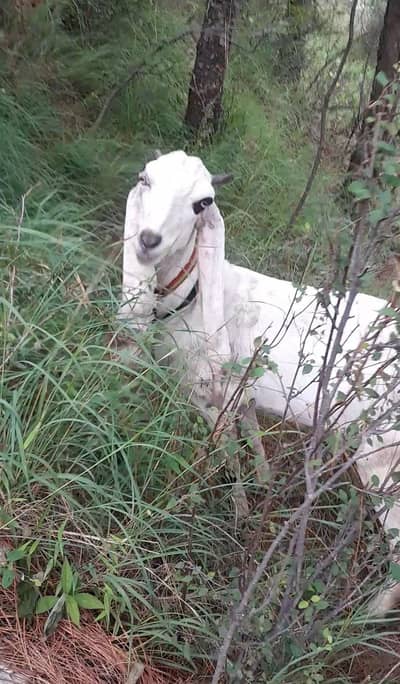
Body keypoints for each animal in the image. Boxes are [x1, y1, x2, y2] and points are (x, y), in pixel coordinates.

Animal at [118, 149, 400, 614]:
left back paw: (363, 615)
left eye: (203, 203)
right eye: (145, 178)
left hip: (383, 460)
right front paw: (261, 491)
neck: (192, 298)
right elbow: (251, 436)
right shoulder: (242, 393)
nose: (148, 239)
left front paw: (232, 510)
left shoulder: (207, 393)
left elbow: (225, 453)